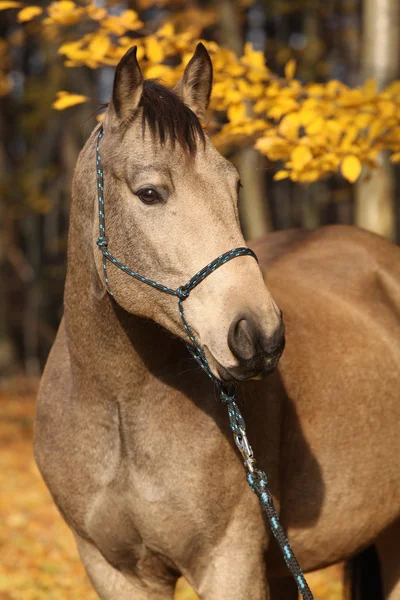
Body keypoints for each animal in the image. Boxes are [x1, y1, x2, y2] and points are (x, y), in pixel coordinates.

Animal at [33, 43, 400, 600]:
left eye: (236, 184)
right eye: (149, 193)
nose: (260, 335)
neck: (117, 406)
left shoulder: (229, 563)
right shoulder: (113, 570)